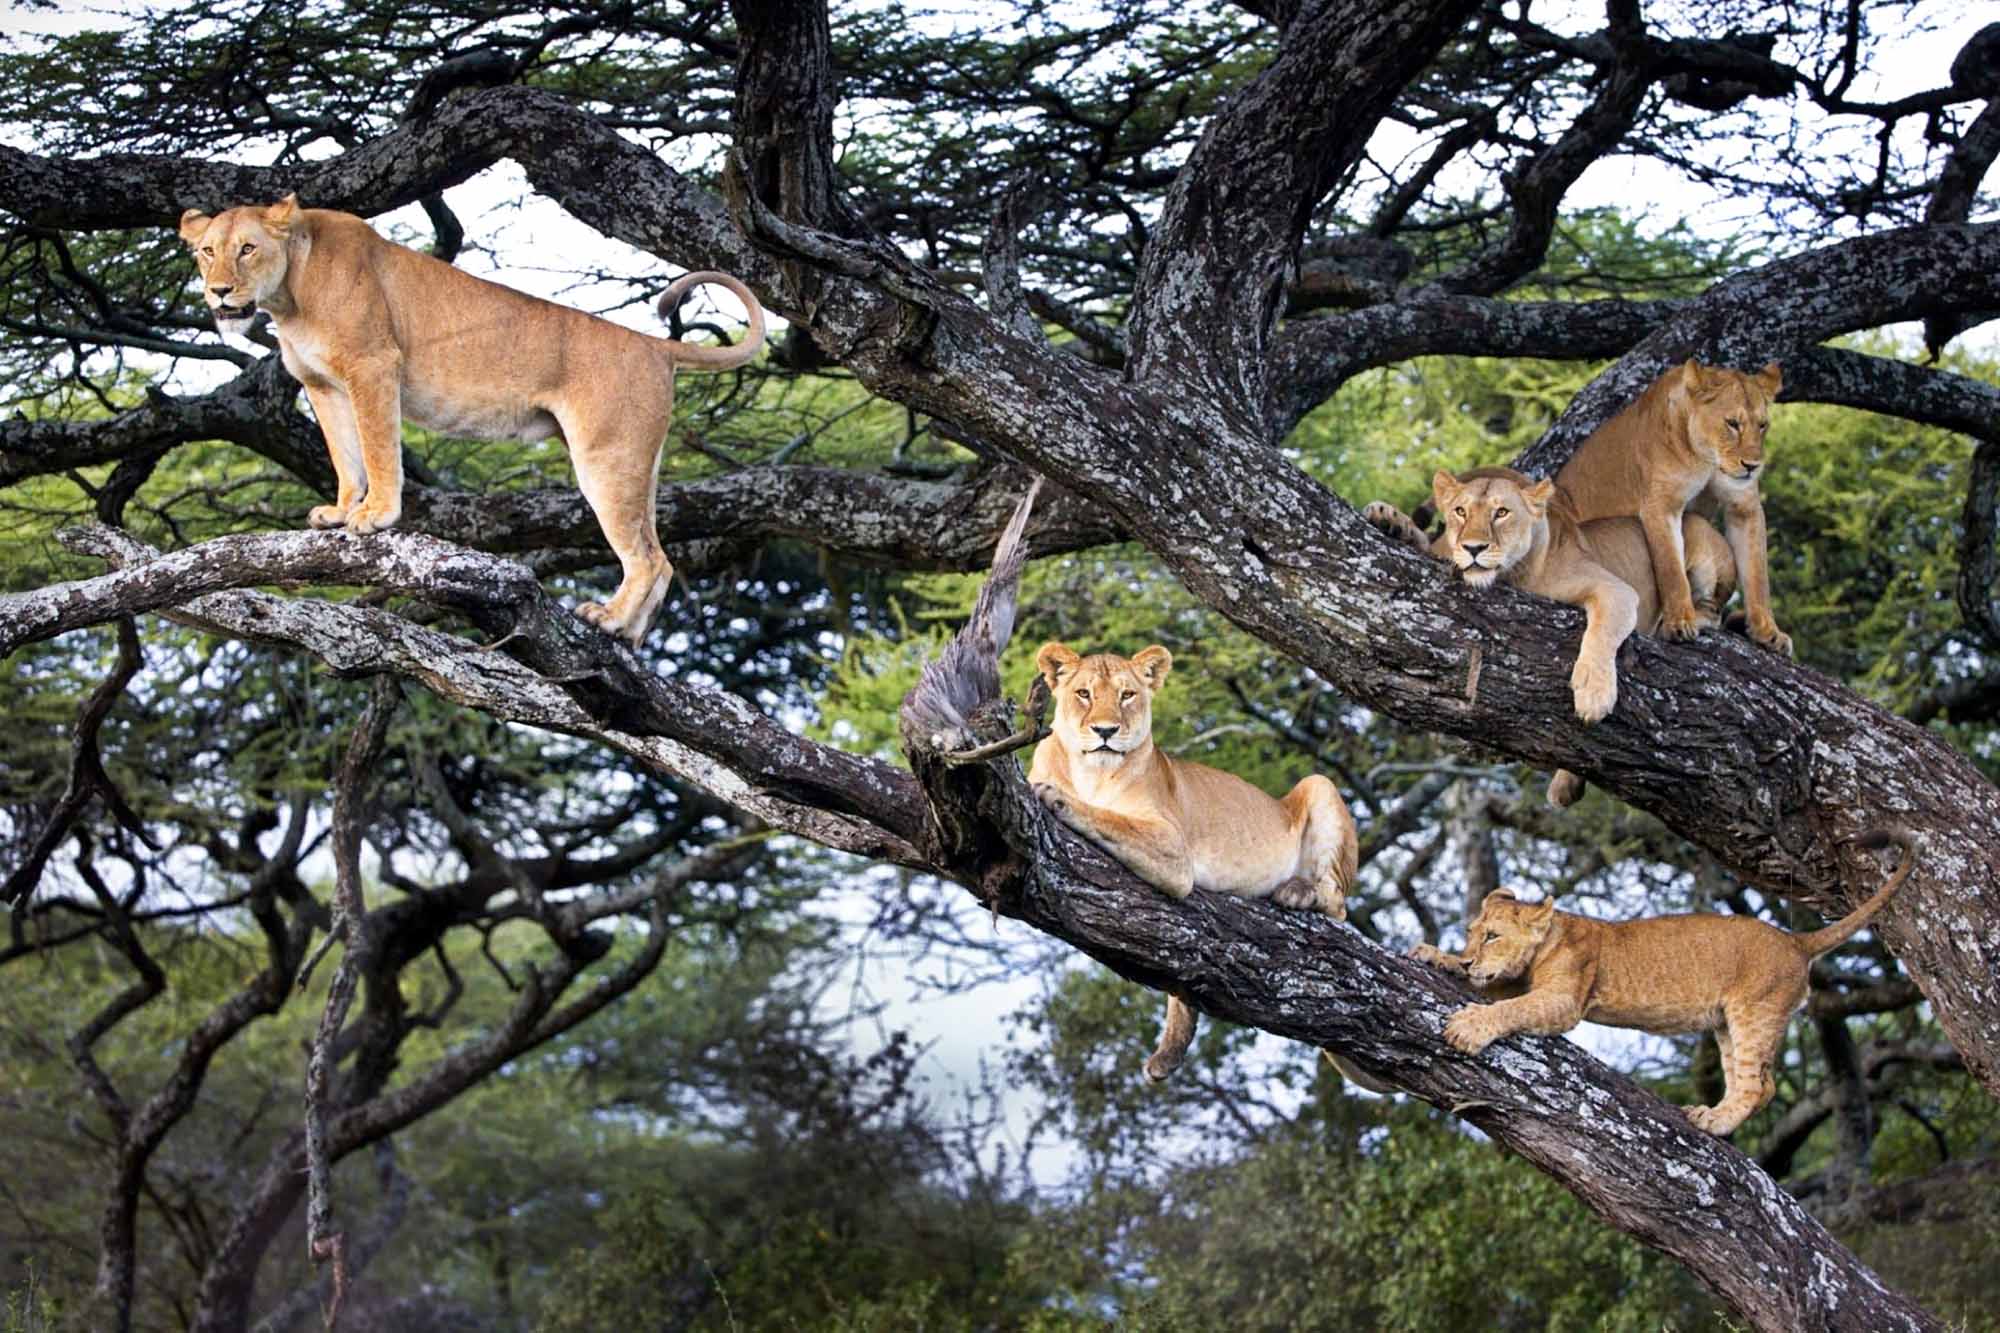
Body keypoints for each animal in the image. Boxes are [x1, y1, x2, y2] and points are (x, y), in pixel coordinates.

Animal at [178, 194, 766, 645]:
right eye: (207, 251)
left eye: (248, 248)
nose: (219, 291)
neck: (290, 295)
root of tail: (654, 345)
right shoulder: (324, 387)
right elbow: (346, 457)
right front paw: (341, 511)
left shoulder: (374, 365)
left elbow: (377, 448)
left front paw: (374, 515)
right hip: (638, 462)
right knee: (660, 556)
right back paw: (628, 635)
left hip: (606, 456)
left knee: (644, 558)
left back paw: (609, 620)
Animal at [1028, 642, 1357, 1081]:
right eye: (1083, 694)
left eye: (1126, 695)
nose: (1105, 731)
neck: (1090, 773)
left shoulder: (1173, 847)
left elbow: (1109, 817)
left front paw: (1057, 797)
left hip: (1319, 785)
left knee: (1337, 905)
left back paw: (1297, 891)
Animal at [1411, 826, 1915, 1136]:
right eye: (1472, 933)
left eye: (1493, 936)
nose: (1470, 959)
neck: (1549, 938)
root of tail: (1796, 940)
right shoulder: (1519, 982)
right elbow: (1494, 990)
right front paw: (1436, 957)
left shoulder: (1564, 1000)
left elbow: (1509, 1007)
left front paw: (1468, 1027)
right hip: (1725, 1023)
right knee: (1756, 1082)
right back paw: (1712, 1114)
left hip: (1754, 1010)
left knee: (1758, 1086)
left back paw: (1714, 1123)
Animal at [1556, 360, 1789, 656]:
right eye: (1732, 424)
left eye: (1762, 425)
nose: (1752, 466)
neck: (1708, 458)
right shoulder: (1662, 504)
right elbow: (1671, 570)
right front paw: (1679, 623)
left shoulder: (1744, 506)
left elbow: (1758, 575)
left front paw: (1768, 632)